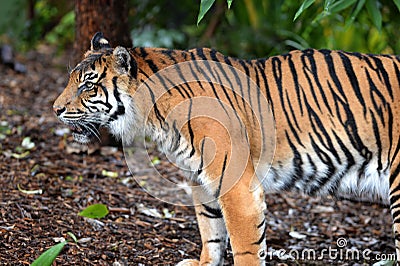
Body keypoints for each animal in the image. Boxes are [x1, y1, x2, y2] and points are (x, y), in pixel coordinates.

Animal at [53, 32, 400, 264]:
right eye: (71, 80)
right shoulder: (199, 178)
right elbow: (211, 229)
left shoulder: (237, 184)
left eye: (88, 85)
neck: (156, 117)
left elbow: (244, 243)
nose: (55, 109)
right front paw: (205, 262)